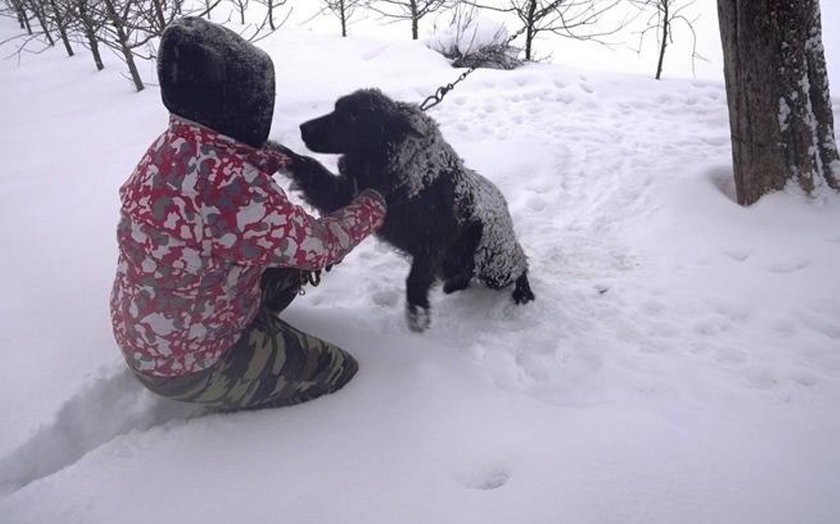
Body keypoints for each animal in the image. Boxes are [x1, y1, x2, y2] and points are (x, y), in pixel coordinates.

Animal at [282, 88, 536, 330]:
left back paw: (523, 291)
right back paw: (455, 285)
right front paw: (284, 154)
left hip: (494, 266)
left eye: (352, 116)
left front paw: (417, 309)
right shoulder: (346, 197)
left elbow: (416, 279)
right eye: (336, 108)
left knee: (521, 263)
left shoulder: (435, 239)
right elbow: (312, 172)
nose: (302, 128)